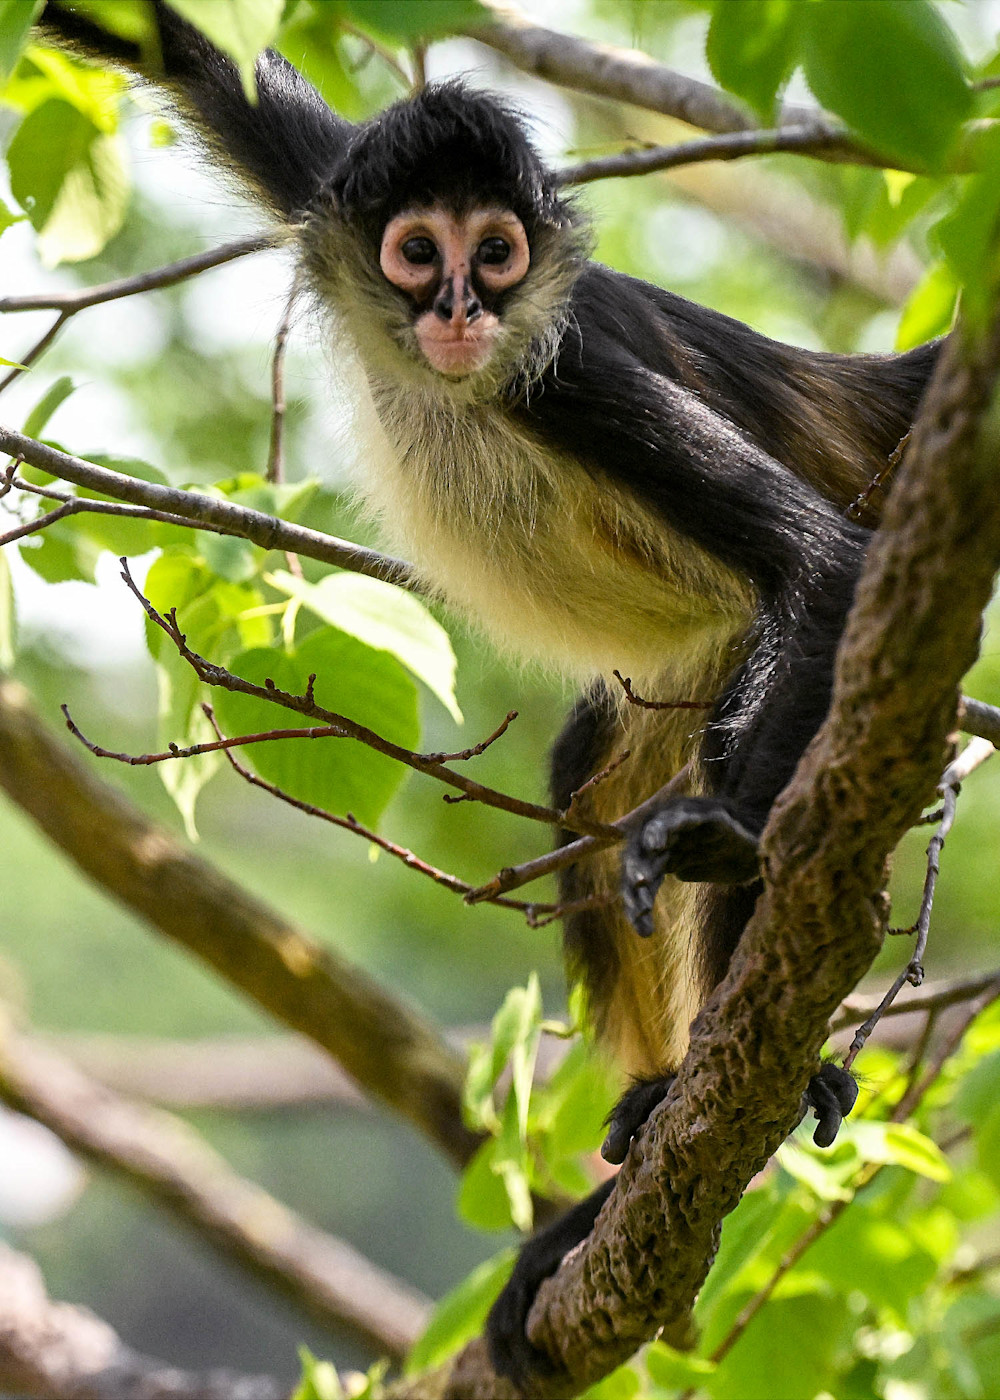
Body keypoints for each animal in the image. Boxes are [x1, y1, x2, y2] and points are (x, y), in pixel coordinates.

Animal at [35, 3, 941, 1388]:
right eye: (420, 252)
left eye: (497, 256)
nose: (462, 304)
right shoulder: (331, 182)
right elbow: (176, 42)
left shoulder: (564, 377)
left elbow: (816, 566)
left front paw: (716, 834)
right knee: (589, 780)